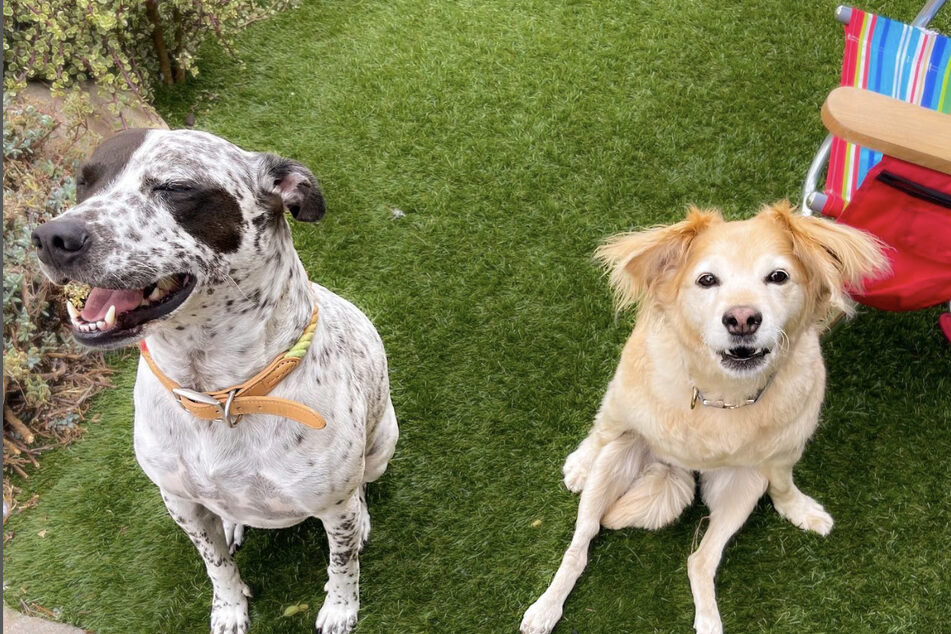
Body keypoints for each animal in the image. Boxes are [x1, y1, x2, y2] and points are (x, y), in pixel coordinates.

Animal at [32, 128, 398, 632]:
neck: (218, 393)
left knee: (362, 485)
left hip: (383, 442)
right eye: (83, 182)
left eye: (176, 187)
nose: (51, 236)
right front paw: (229, 609)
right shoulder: (179, 503)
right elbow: (216, 564)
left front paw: (341, 608)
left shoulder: (333, 505)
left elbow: (342, 563)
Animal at [520, 201, 884, 632]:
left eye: (778, 276)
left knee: (700, 560)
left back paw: (709, 620)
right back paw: (545, 608)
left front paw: (799, 509)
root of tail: (679, 467)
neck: (721, 395)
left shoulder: (783, 454)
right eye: (707, 280)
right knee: (580, 545)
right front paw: (579, 461)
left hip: (744, 486)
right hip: (613, 467)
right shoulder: (622, 402)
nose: (742, 319)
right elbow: (603, 426)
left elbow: (783, 486)